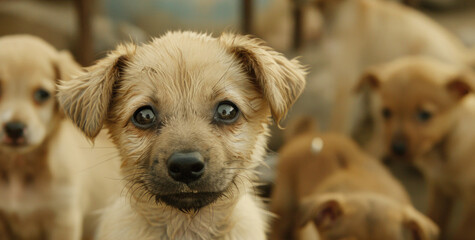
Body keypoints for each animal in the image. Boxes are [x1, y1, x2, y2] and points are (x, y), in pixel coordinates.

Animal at [360, 55, 475, 238]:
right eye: (386, 112)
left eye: (425, 115)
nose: (397, 149)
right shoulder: (439, 190)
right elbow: (436, 218)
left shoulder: (471, 206)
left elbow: (463, 233)